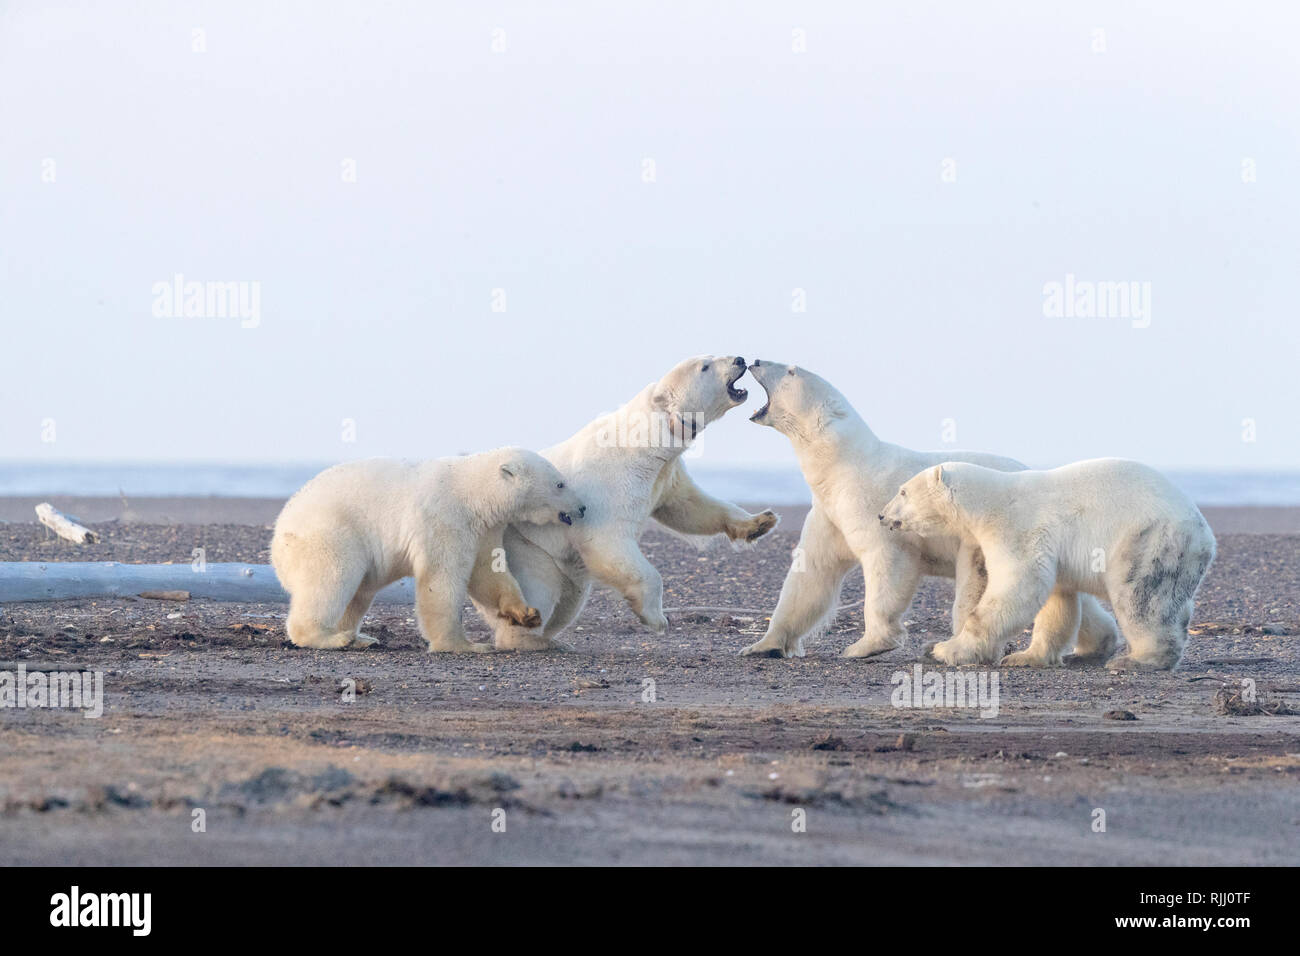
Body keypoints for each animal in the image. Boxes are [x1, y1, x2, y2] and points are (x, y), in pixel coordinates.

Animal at [270, 448, 585, 652]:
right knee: (332, 579)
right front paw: (464, 645)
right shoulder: (443, 517)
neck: (470, 492)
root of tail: (276, 542)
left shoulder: (483, 529)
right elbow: (441, 579)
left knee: (358, 593)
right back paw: (330, 638)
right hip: (328, 535)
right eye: (560, 483)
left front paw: (525, 613)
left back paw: (360, 637)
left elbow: (487, 571)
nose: (582, 508)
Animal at [465, 355, 780, 651]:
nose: (740, 359)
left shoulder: (665, 473)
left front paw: (760, 521)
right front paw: (655, 618)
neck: (646, 439)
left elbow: (689, 506)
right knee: (538, 588)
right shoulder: (610, 480)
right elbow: (607, 540)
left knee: (570, 600)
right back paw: (534, 639)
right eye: (705, 366)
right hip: (525, 545)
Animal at [737, 359, 1119, 661]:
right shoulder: (830, 514)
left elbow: (887, 563)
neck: (843, 464)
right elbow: (811, 573)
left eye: (790, 369)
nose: (754, 359)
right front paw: (763, 645)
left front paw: (866, 645)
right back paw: (1098, 642)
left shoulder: (870, 502)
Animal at [879, 459, 1216, 670]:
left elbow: (1018, 585)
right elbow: (1057, 600)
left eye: (902, 491)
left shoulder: (1018, 528)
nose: (882, 515)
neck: (989, 501)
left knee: (1141, 599)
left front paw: (946, 650)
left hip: (1147, 540)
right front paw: (1027, 656)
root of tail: (1205, 534)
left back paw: (1136, 660)